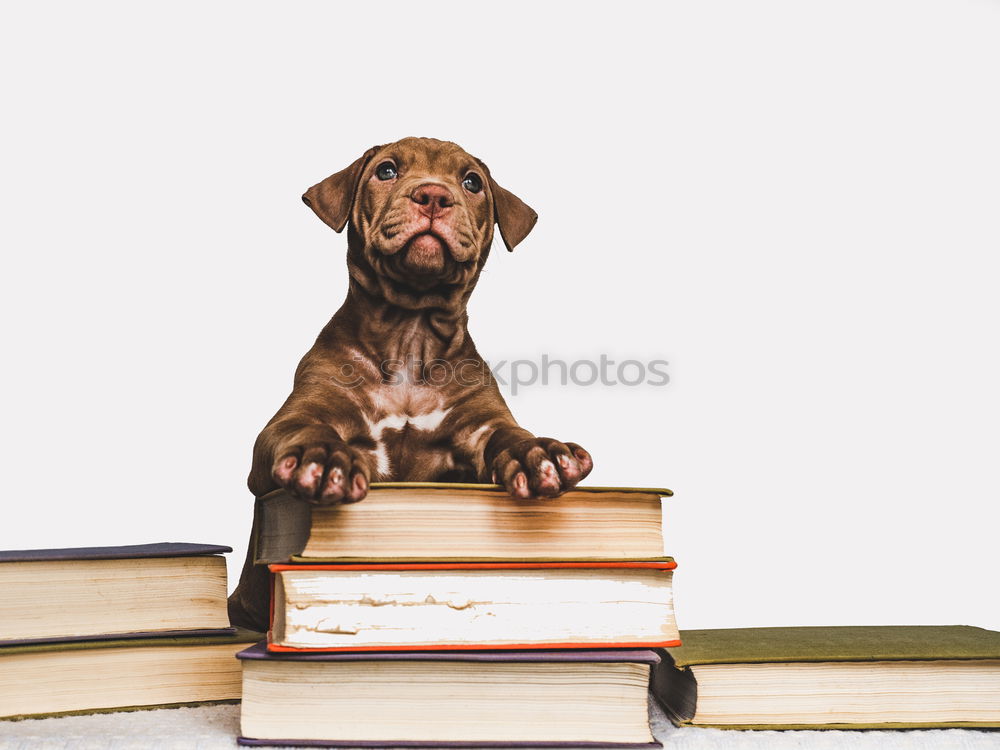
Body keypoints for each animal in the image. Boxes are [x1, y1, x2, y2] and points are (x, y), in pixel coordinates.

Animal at [229, 138, 592, 632]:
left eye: (472, 182)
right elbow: (304, 428)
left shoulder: (479, 427)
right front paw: (322, 458)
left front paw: (540, 453)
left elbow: (508, 435)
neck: (409, 331)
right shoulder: (296, 418)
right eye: (386, 170)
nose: (433, 195)